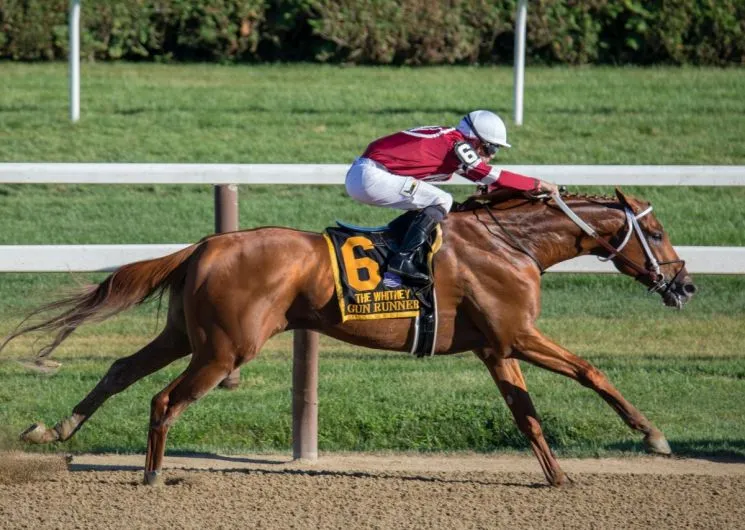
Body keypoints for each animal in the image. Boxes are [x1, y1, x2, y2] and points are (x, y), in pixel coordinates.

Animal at [1, 188, 696, 486]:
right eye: (658, 233)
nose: (684, 284)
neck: (511, 243)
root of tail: (205, 245)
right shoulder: (518, 336)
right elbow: (591, 371)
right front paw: (654, 435)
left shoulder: (497, 347)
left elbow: (526, 416)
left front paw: (558, 479)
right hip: (225, 348)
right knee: (165, 400)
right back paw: (150, 478)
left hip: (187, 335)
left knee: (121, 369)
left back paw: (54, 430)